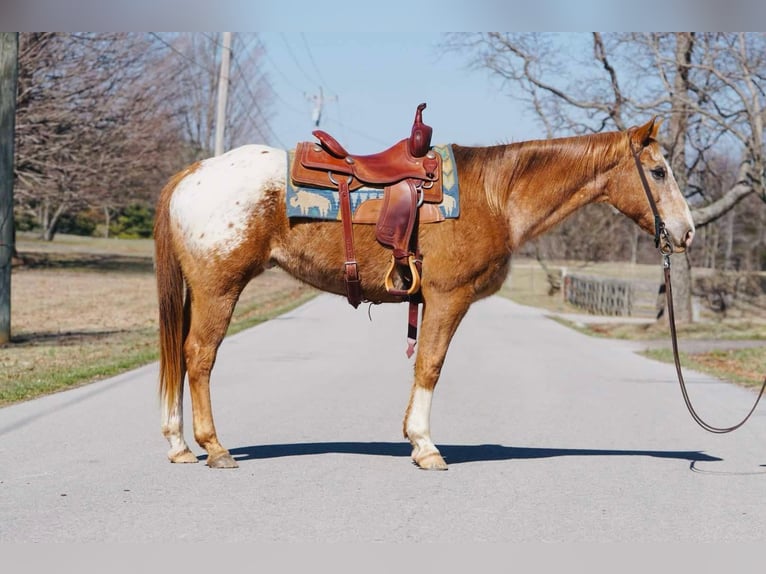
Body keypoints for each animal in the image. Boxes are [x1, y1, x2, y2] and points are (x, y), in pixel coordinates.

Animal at [153, 117, 695, 471]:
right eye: (659, 171)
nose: (686, 232)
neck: (495, 196)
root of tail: (192, 173)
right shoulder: (447, 297)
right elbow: (431, 365)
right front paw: (425, 446)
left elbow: (423, 365)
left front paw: (414, 441)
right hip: (219, 288)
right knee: (199, 356)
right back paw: (214, 447)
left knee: (179, 355)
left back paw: (179, 445)